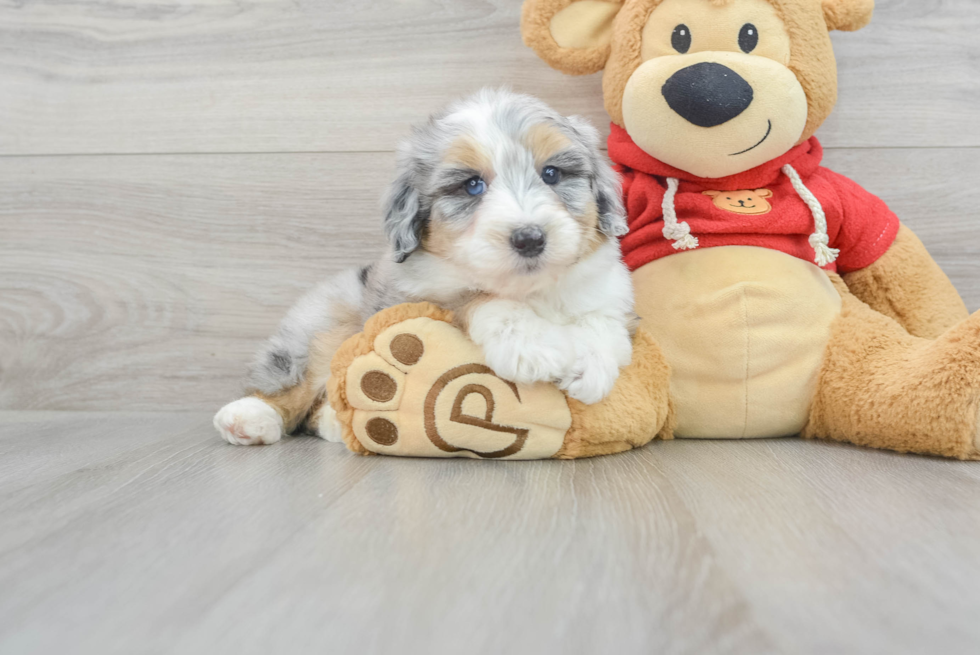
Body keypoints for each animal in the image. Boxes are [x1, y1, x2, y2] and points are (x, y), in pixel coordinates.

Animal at [214, 88, 636, 446]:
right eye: (471, 185)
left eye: (551, 174)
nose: (530, 238)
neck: (531, 289)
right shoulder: (417, 298)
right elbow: (477, 297)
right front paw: (533, 346)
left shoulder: (609, 293)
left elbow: (602, 321)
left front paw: (589, 365)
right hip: (325, 321)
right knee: (294, 375)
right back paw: (248, 417)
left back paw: (336, 422)